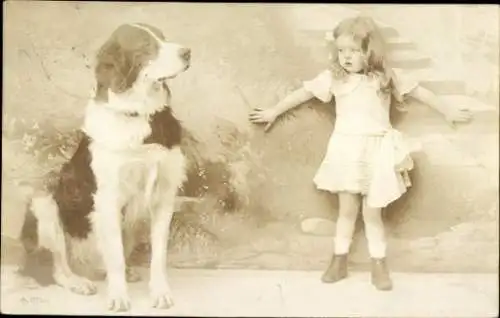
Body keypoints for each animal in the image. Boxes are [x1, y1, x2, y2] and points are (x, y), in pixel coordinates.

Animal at [19, 23, 191, 312]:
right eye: (146, 46)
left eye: (163, 37)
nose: (187, 52)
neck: (138, 114)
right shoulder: (108, 199)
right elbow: (116, 258)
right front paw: (119, 297)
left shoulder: (163, 197)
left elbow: (158, 256)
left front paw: (159, 293)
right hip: (44, 204)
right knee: (57, 269)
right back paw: (78, 282)